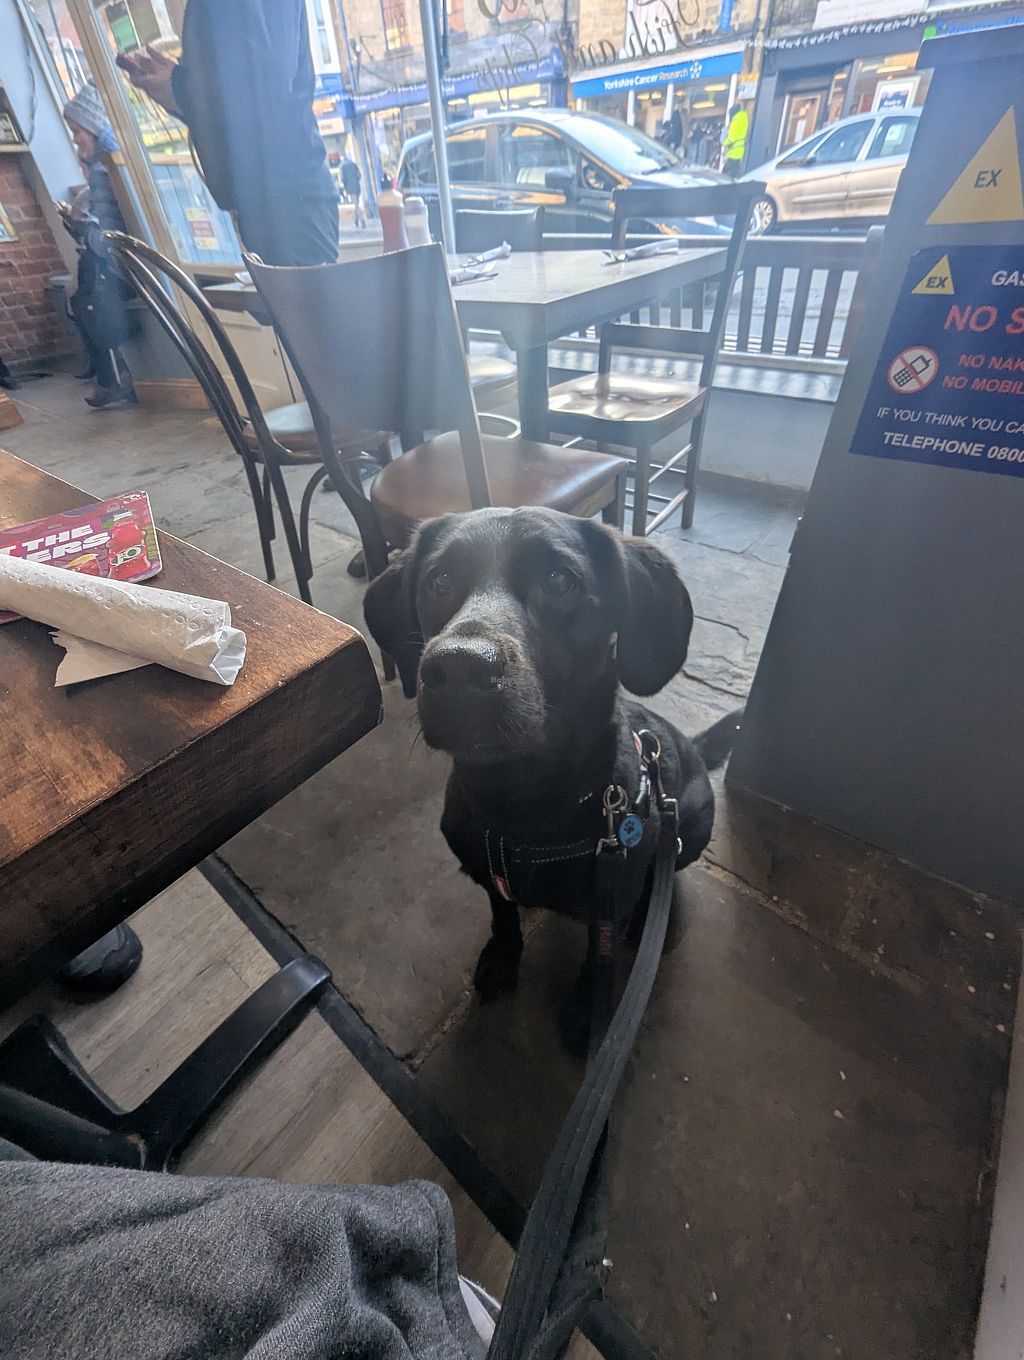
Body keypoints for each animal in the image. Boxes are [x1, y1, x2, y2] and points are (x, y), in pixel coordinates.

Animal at [364, 507, 740, 1033]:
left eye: (560, 581)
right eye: (439, 581)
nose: (458, 669)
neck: (522, 803)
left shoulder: (608, 900)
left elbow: (599, 953)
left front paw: (588, 1009)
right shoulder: (490, 876)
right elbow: (503, 915)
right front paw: (503, 958)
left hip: (693, 827)